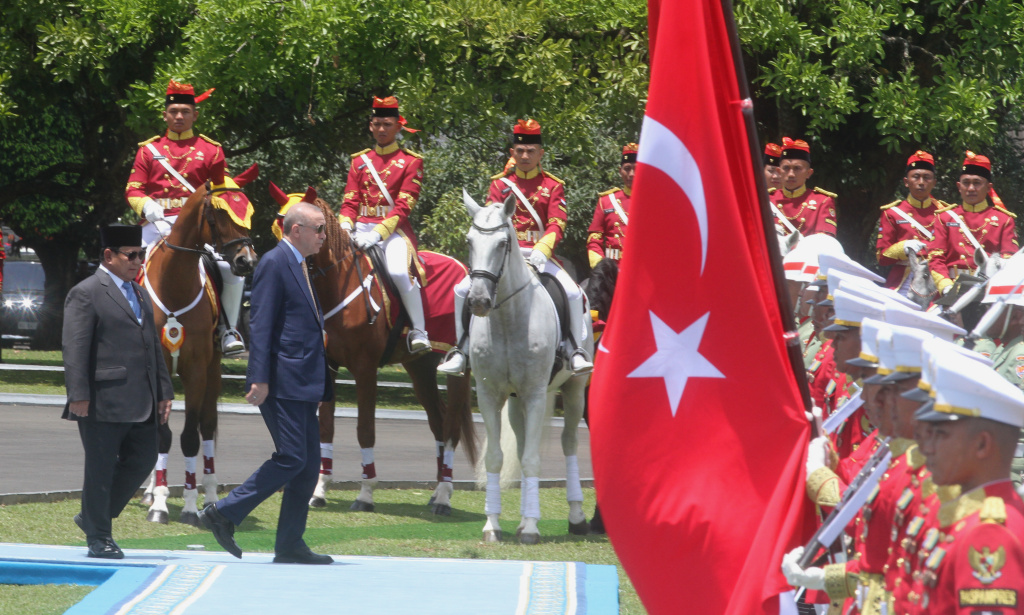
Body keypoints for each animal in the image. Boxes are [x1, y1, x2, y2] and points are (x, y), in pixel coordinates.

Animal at [139, 166, 260, 521]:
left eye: (248, 212)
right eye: (219, 213)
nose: (247, 261)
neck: (174, 284)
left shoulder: (195, 371)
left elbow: (191, 436)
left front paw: (190, 504)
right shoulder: (159, 371)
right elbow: (162, 435)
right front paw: (159, 501)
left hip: (213, 370)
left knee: (207, 427)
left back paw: (208, 495)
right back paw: (150, 491)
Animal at [294, 196, 473, 513]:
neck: (339, 286)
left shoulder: (365, 369)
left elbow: (365, 429)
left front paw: (365, 494)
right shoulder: (328, 367)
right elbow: (325, 428)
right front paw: (320, 489)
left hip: (457, 371)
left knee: (451, 427)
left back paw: (443, 496)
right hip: (420, 369)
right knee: (438, 422)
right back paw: (438, 490)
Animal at [460, 190, 589, 540]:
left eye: (503, 243)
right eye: (469, 241)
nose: (478, 301)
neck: (507, 319)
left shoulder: (535, 394)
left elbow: (532, 460)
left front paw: (531, 527)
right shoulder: (489, 395)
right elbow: (496, 458)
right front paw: (492, 524)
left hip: (573, 391)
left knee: (569, 444)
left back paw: (576, 517)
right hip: (516, 401)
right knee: (519, 447)